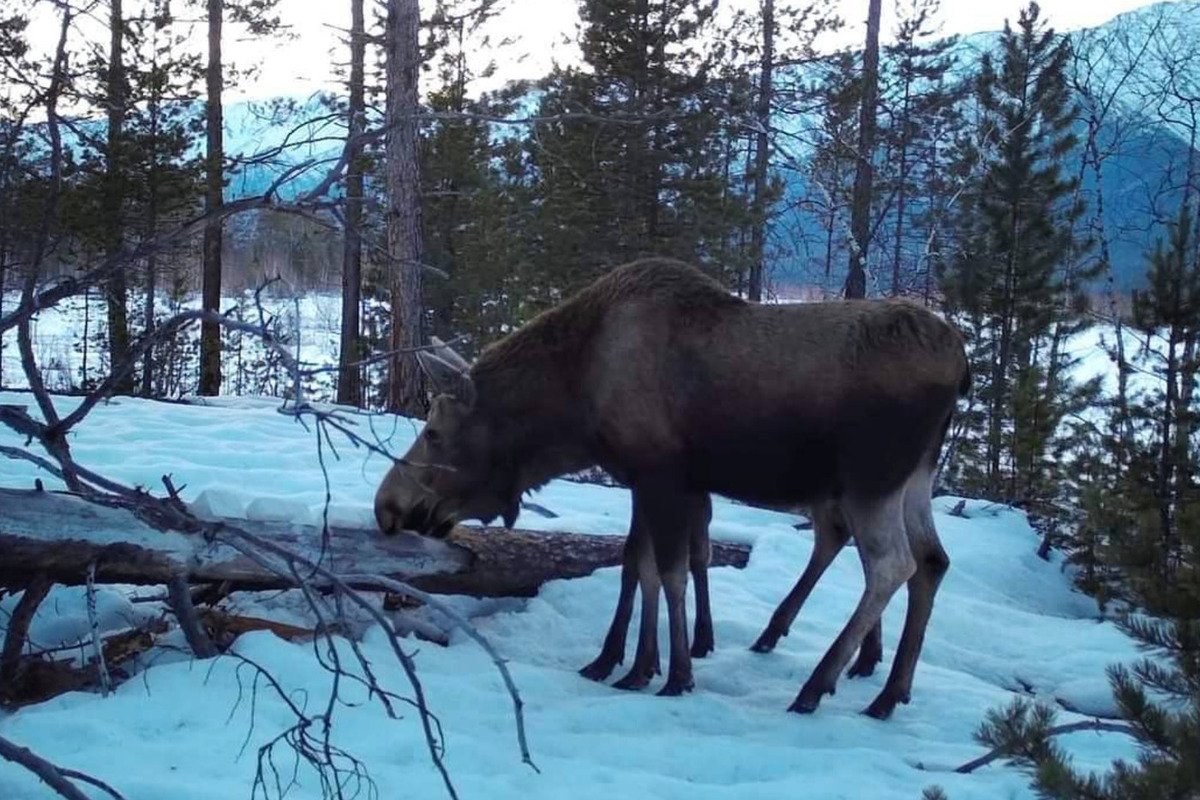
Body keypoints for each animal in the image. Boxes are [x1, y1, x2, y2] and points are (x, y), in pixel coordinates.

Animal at [374, 257, 969, 717]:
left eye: (433, 431)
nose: (387, 505)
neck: (573, 408)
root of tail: (961, 366)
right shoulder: (644, 477)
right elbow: (638, 567)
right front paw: (626, 663)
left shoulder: (662, 474)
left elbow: (670, 572)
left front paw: (674, 673)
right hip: (915, 477)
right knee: (932, 561)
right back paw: (890, 693)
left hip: (870, 477)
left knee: (891, 565)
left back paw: (815, 685)